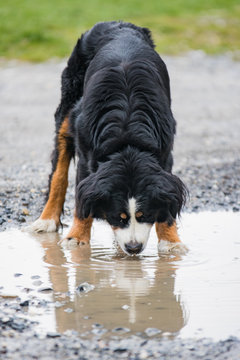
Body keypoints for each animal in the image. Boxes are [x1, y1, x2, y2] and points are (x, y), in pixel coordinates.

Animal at [26, 21, 188, 256]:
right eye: (118, 217)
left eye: (145, 216)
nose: (133, 248)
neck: (127, 135)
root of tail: (116, 23)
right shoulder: (86, 151)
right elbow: (80, 198)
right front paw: (76, 237)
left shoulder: (165, 150)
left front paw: (171, 241)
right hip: (69, 105)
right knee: (59, 168)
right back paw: (47, 220)